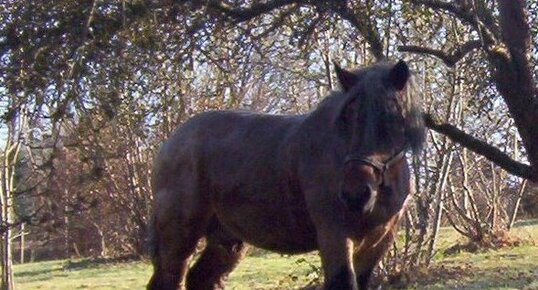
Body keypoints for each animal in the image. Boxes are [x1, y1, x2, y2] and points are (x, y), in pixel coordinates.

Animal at [147, 60, 422, 288]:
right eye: (347, 116)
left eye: (392, 116)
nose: (355, 194)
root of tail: (172, 142)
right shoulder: (334, 233)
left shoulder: (379, 240)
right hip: (179, 237)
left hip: (226, 239)